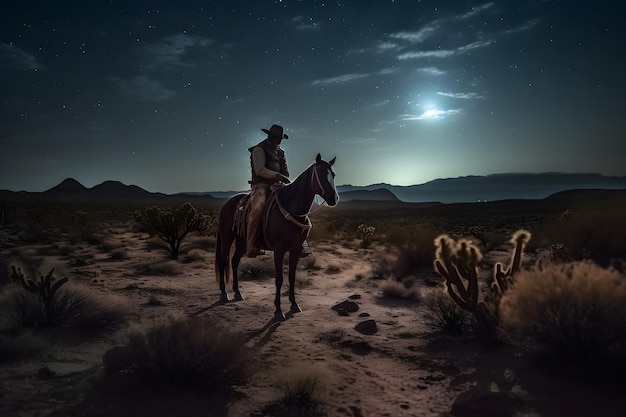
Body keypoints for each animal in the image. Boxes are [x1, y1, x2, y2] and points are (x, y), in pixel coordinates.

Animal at [216, 153, 342, 318]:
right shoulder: (279, 250)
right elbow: (279, 279)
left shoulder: (296, 249)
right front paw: (278, 310)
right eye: (320, 174)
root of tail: (226, 204)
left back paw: (238, 293)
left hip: (242, 241)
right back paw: (224, 294)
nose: (334, 199)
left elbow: (292, 277)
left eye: (333, 174)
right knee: (223, 261)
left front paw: (294, 305)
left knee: (234, 261)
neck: (292, 207)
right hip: (227, 237)